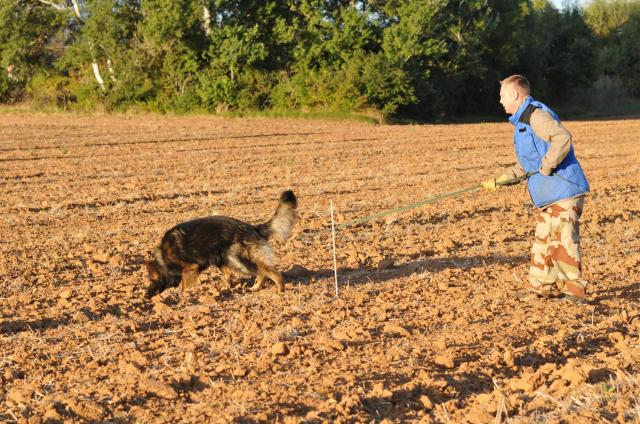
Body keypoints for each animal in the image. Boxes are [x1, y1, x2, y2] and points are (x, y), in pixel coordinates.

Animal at [146, 190, 298, 296]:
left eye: (152, 280)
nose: (147, 296)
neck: (164, 257)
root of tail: (253, 227)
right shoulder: (218, 262)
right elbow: (227, 276)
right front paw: (227, 288)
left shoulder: (191, 268)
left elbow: (184, 284)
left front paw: (183, 295)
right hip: (231, 258)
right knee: (261, 273)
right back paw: (254, 288)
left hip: (241, 259)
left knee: (272, 273)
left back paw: (280, 291)